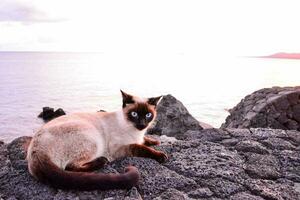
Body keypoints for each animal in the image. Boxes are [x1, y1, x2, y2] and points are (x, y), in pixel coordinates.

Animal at [26, 90, 168, 191]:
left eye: (148, 115)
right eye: (134, 114)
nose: (142, 124)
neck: (136, 132)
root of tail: (36, 151)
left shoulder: (139, 137)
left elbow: (145, 141)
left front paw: (155, 142)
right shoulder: (119, 148)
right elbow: (141, 148)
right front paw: (161, 155)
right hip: (93, 139)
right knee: (69, 166)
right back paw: (102, 161)